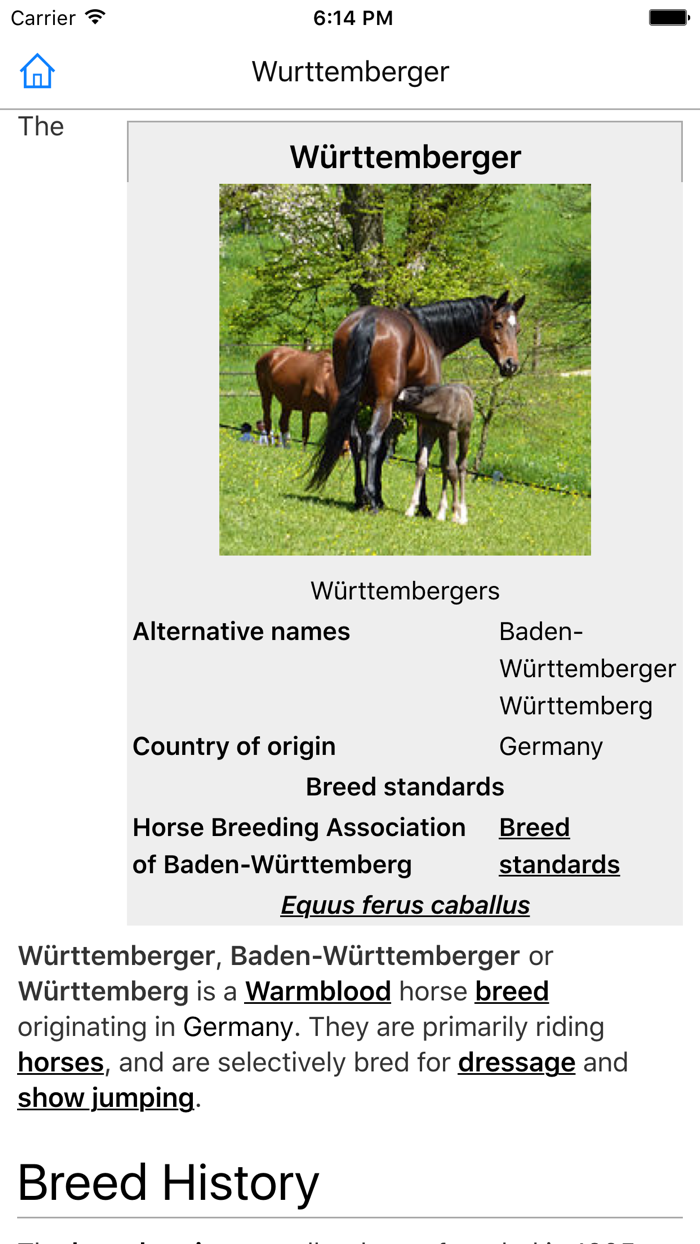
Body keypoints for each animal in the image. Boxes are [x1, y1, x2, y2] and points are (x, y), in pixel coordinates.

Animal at [395, 384, 475, 525]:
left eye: (400, 402)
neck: (439, 405)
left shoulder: (451, 432)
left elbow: (452, 470)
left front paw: (455, 514)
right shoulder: (430, 431)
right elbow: (422, 465)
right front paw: (411, 508)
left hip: (465, 432)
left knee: (461, 465)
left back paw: (463, 514)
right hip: (443, 438)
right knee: (444, 465)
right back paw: (441, 512)